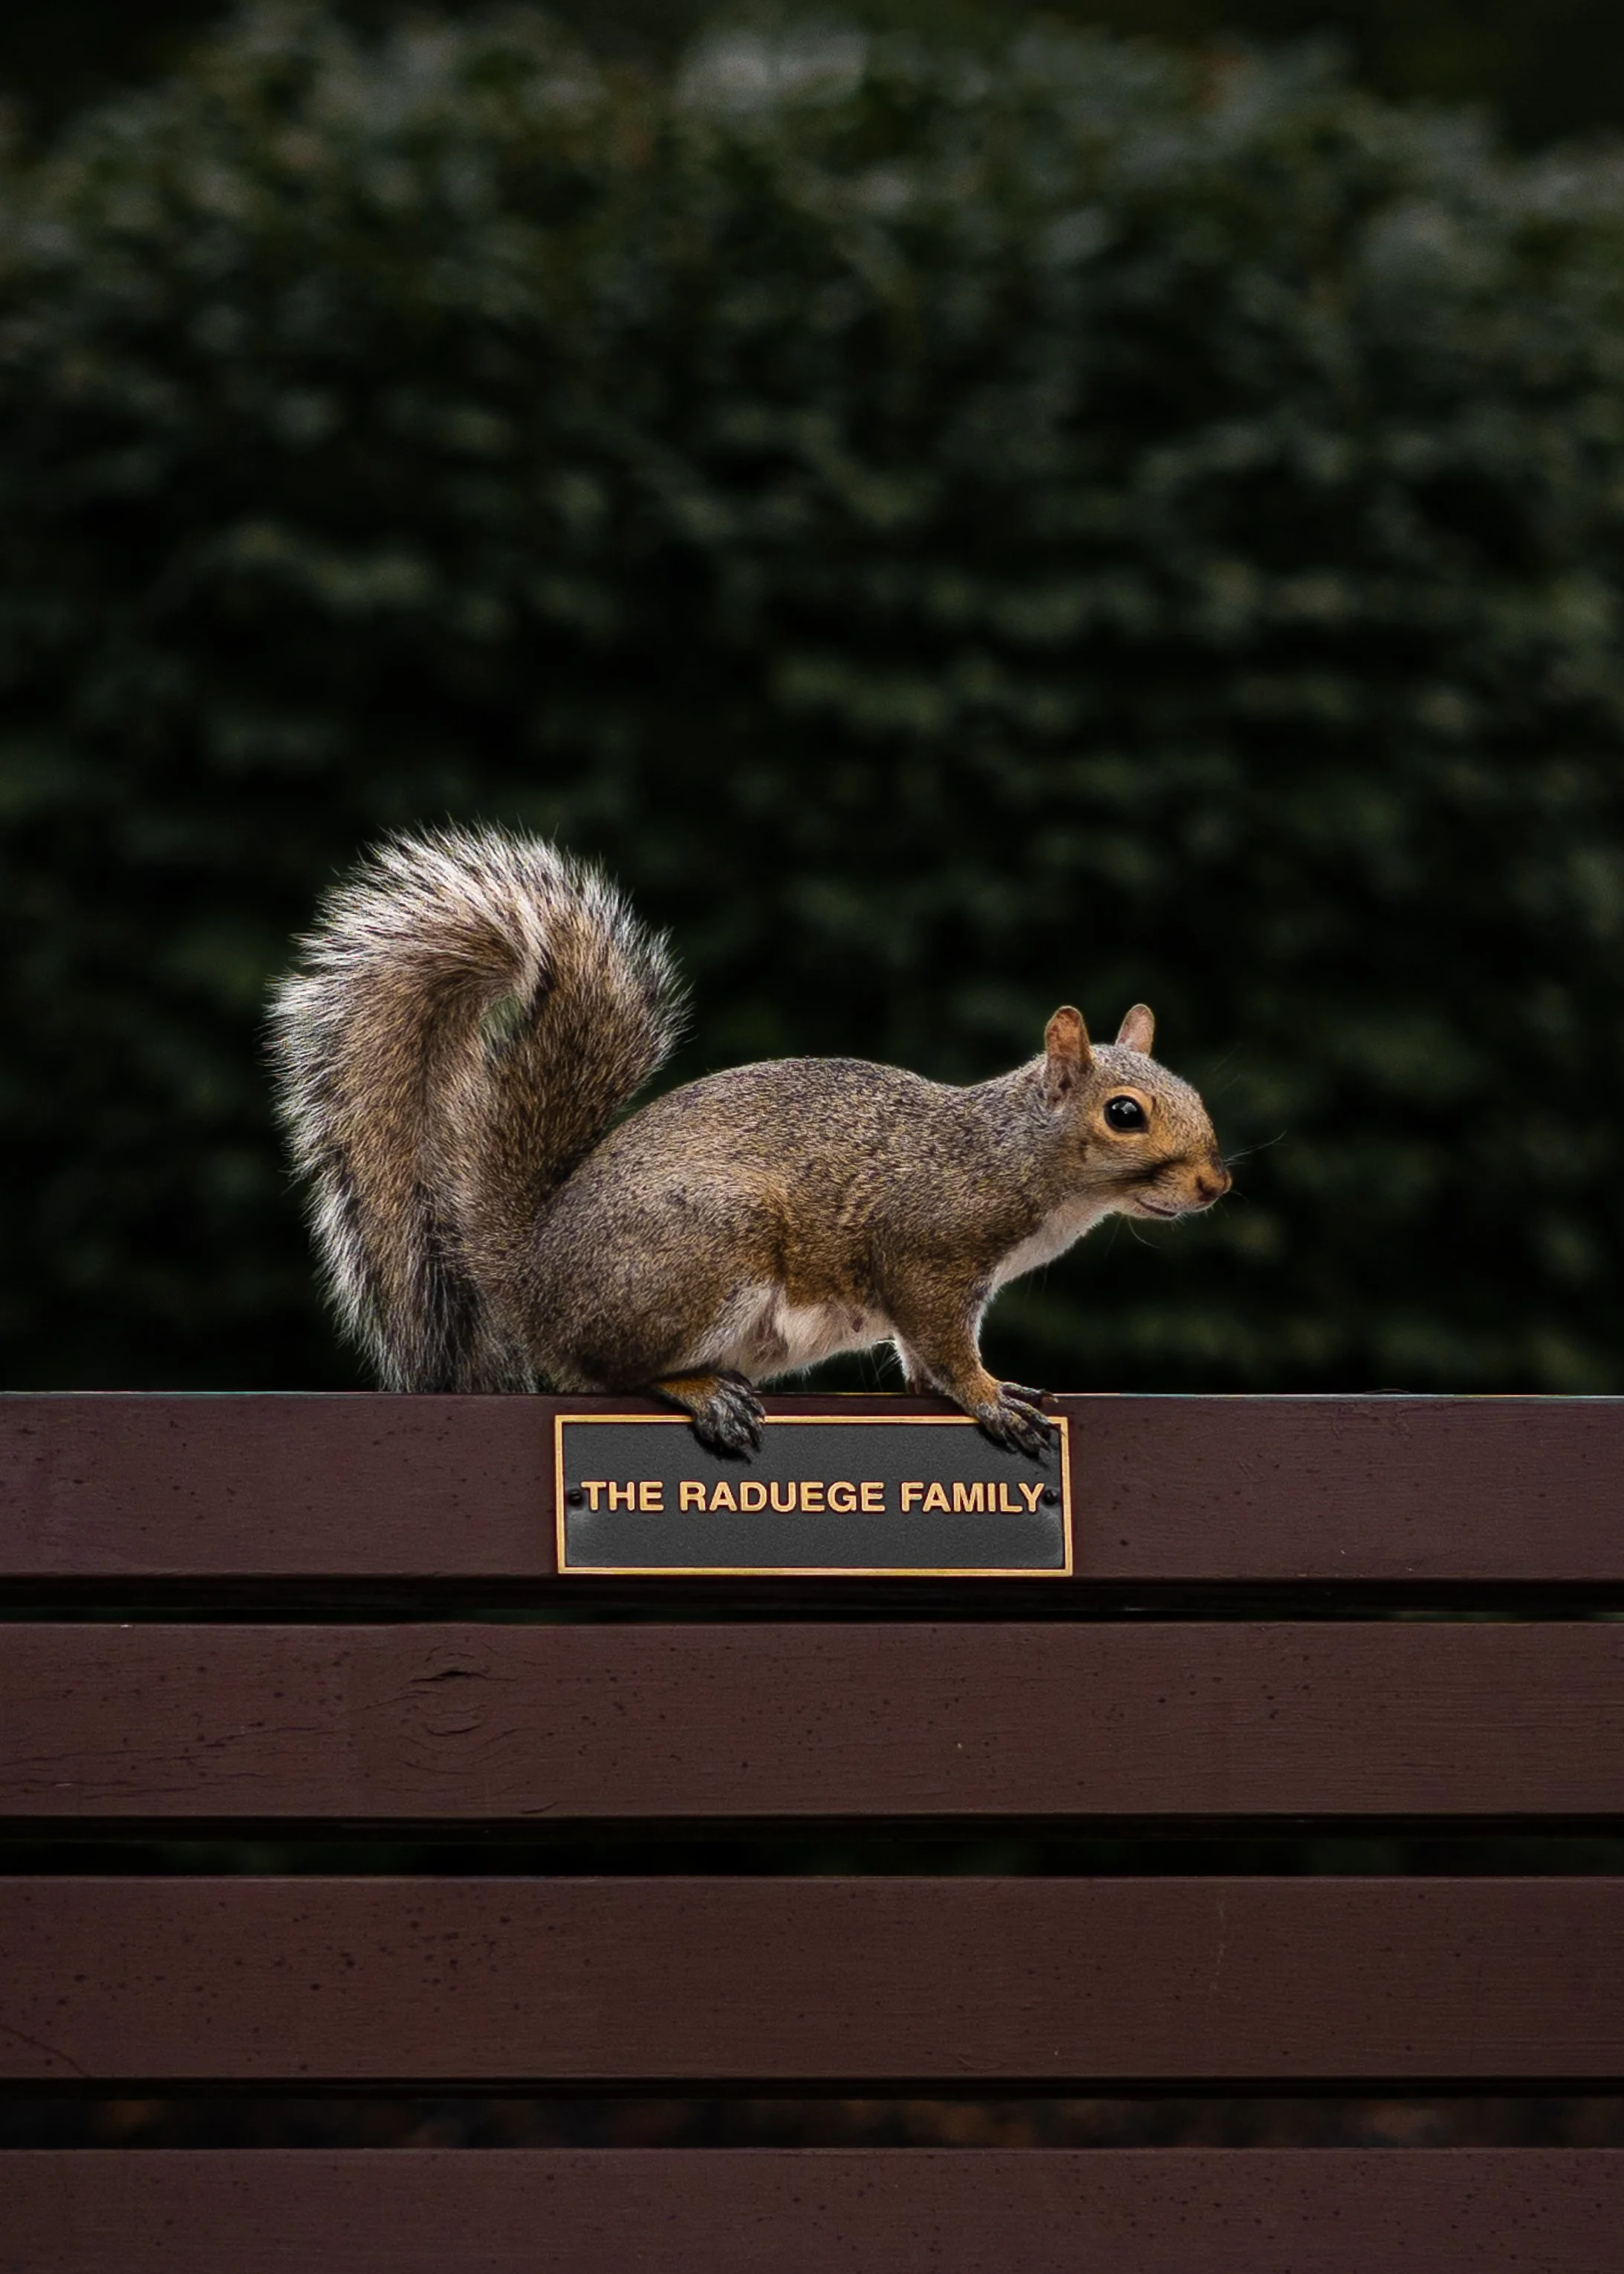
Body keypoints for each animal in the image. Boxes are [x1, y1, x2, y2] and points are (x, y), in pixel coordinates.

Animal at [270, 826, 1230, 1458]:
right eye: (1124, 1114)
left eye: (1191, 1094)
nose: (1213, 1186)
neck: (1012, 1155)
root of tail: (533, 1275)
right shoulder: (925, 1250)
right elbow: (942, 1341)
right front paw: (988, 1397)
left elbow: (918, 1354)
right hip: (704, 1247)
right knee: (600, 1373)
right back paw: (698, 1389)